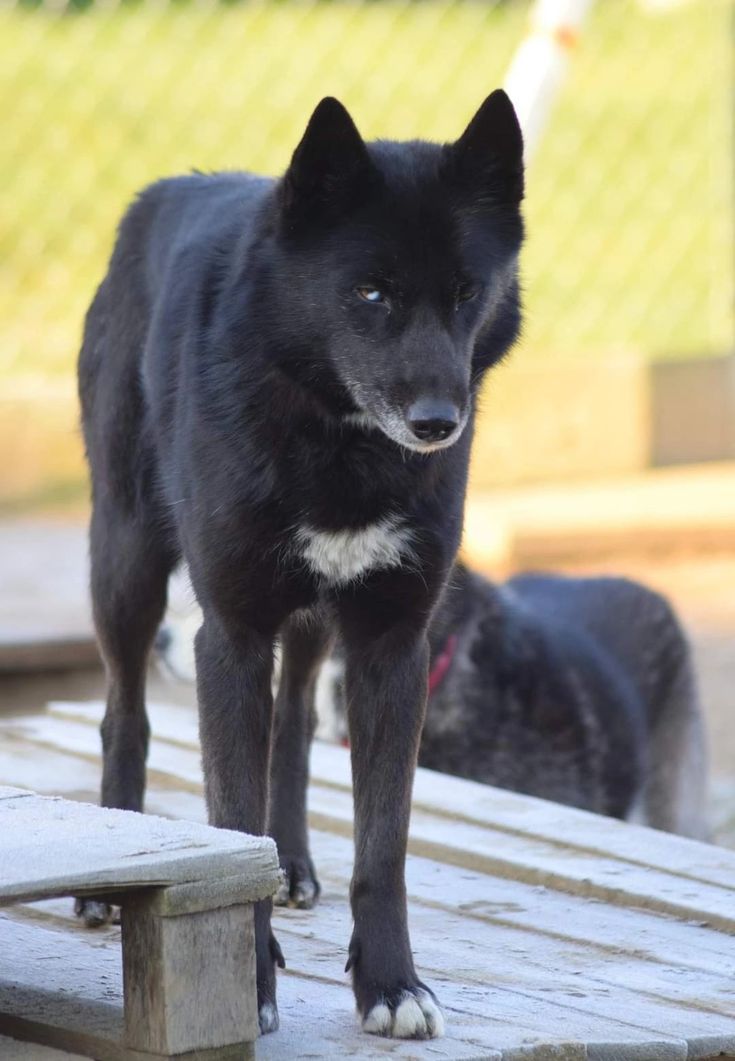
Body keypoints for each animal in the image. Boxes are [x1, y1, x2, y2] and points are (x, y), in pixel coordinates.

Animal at [77, 91, 523, 1035]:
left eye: (465, 292)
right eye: (369, 292)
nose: (438, 423)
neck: (337, 445)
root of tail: (164, 191)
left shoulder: (391, 644)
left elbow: (382, 845)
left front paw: (391, 983)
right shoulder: (231, 635)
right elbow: (231, 823)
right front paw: (247, 984)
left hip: (315, 621)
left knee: (294, 725)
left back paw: (290, 864)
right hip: (125, 563)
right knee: (123, 713)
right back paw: (112, 864)